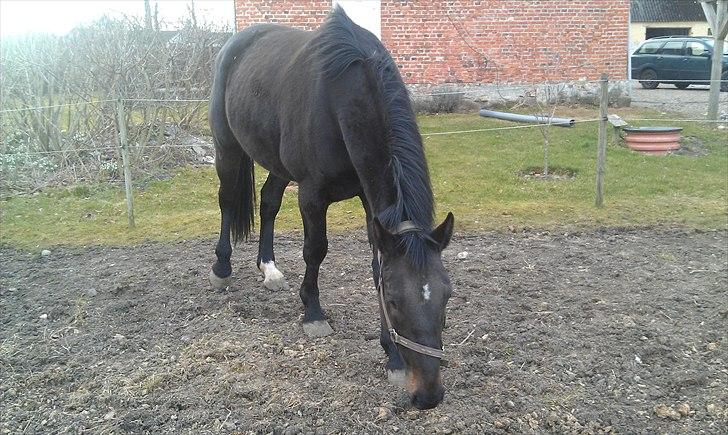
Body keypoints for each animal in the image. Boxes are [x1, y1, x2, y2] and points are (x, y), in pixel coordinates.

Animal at [208, 7, 455, 410]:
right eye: (394, 300)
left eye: (446, 295)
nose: (428, 394)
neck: (342, 99)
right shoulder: (312, 194)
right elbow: (315, 251)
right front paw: (312, 314)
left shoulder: (372, 203)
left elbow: (376, 265)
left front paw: (392, 356)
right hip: (226, 146)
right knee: (227, 200)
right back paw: (222, 268)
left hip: (278, 166)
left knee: (269, 202)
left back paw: (269, 269)